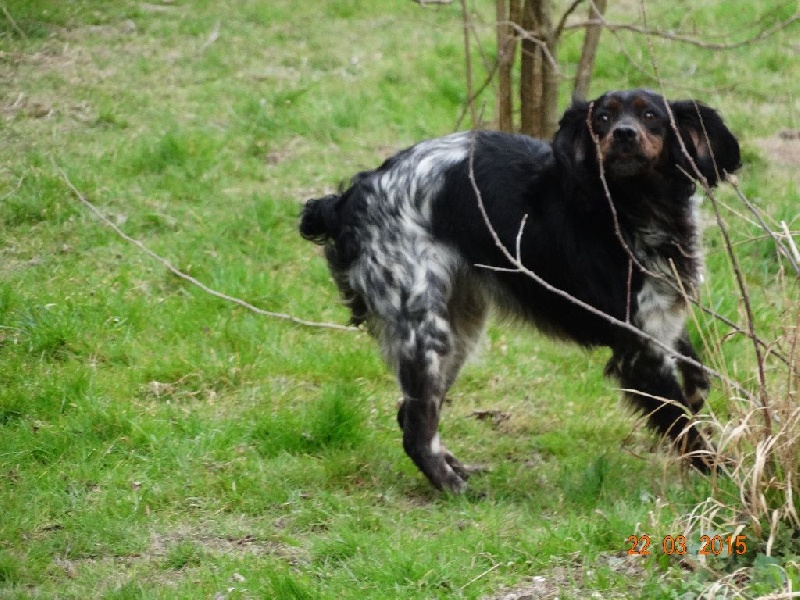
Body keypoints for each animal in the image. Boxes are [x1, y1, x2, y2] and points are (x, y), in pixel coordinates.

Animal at [299, 89, 741, 493]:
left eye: (651, 115)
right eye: (602, 118)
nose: (624, 134)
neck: (636, 208)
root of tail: (351, 196)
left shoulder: (661, 322)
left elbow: (698, 380)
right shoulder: (639, 351)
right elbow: (686, 428)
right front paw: (727, 479)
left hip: (459, 329)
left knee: (410, 414)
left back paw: (457, 470)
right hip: (426, 330)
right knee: (416, 429)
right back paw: (454, 488)